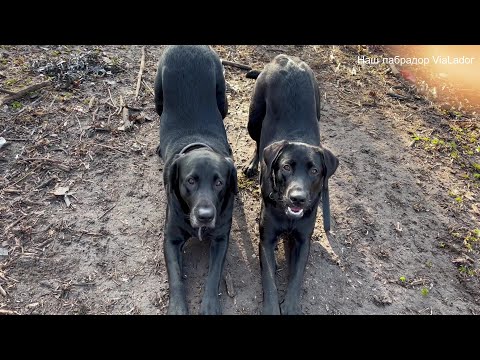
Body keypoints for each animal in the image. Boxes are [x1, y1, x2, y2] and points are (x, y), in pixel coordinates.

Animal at [156, 45, 238, 316]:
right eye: (190, 181)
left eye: (219, 183)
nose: (204, 216)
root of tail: (188, 46)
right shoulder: (170, 239)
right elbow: (175, 276)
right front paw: (177, 308)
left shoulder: (221, 237)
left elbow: (214, 275)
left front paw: (210, 305)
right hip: (158, 96)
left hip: (222, 97)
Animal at [244, 54, 338, 316]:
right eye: (286, 167)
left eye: (315, 171)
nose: (298, 198)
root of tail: (285, 58)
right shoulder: (266, 237)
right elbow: (269, 278)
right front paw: (271, 308)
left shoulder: (304, 239)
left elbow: (296, 277)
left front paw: (292, 306)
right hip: (254, 118)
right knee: (258, 143)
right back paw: (253, 164)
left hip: (318, 107)